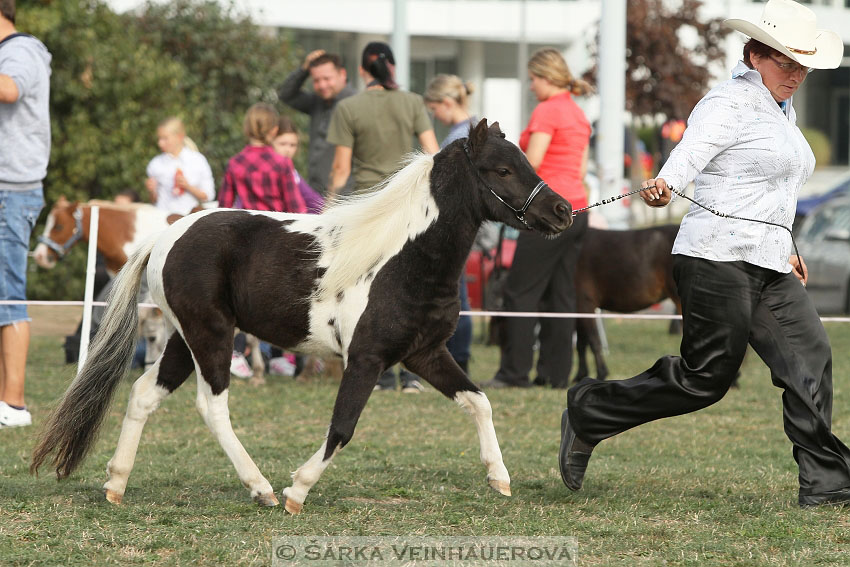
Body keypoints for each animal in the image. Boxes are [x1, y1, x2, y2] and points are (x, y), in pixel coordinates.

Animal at [31, 120, 568, 516]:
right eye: (502, 169)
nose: (562, 211)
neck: (402, 259)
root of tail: (166, 235)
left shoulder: (424, 355)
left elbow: (479, 402)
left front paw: (500, 478)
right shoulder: (366, 359)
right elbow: (343, 427)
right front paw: (297, 492)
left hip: (184, 340)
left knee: (144, 394)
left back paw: (116, 485)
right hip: (211, 336)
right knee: (212, 406)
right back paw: (262, 488)